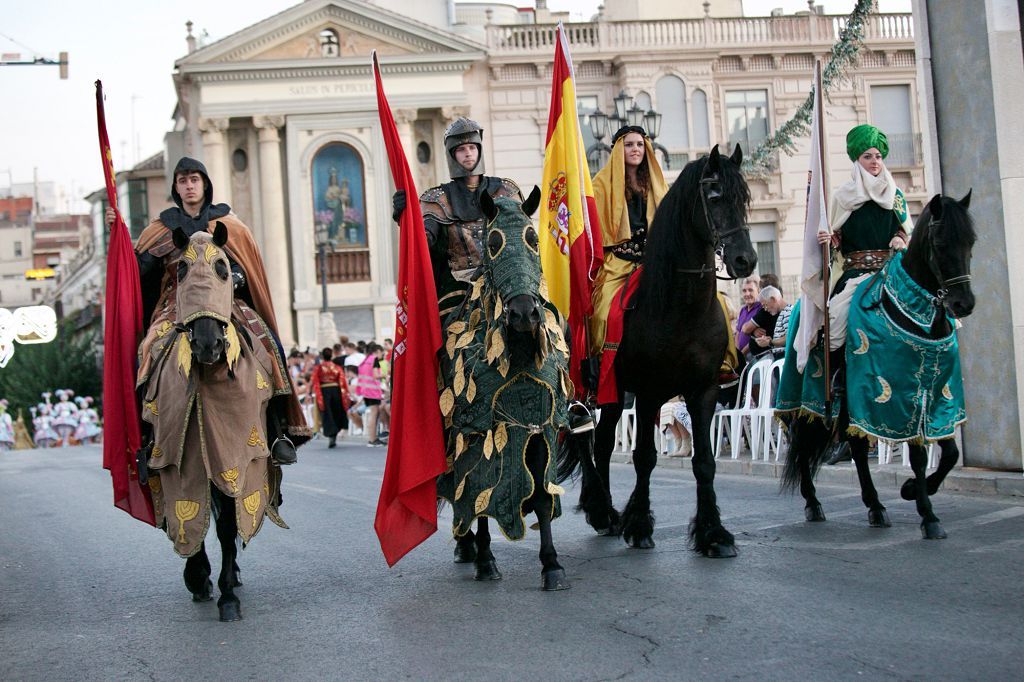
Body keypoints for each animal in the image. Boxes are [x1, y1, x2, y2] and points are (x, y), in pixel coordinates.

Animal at [569, 143, 761, 552]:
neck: (680, 307)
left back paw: (607, 513)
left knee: (603, 442)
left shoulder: (702, 390)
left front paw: (712, 532)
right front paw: (640, 525)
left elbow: (704, 462)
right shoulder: (649, 391)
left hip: (613, 393)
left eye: (744, 197)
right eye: (714, 195)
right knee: (583, 441)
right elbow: (644, 456)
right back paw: (600, 509)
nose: (745, 260)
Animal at [782, 189, 974, 536]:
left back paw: (875, 506)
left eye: (970, 241)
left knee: (856, 447)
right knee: (802, 441)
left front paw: (914, 490)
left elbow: (950, 453)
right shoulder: (899, 397)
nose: (963, 303)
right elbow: (919, 455)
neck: (916, 315)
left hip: (850, 402)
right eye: (940, 244)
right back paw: (813, 502)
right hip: (807, 397)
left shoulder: (938, 394)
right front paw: (928, 515)